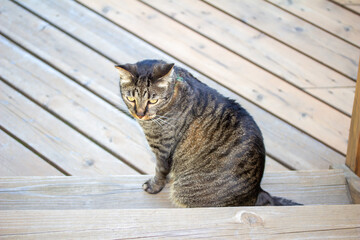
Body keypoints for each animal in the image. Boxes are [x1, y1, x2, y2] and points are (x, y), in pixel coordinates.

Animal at [115, 59, 298, 207]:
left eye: (153, 100)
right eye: (130, 98)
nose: (139, 114)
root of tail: (257, 190)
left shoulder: (163, 150)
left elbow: (160, 172)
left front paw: (153, 186)